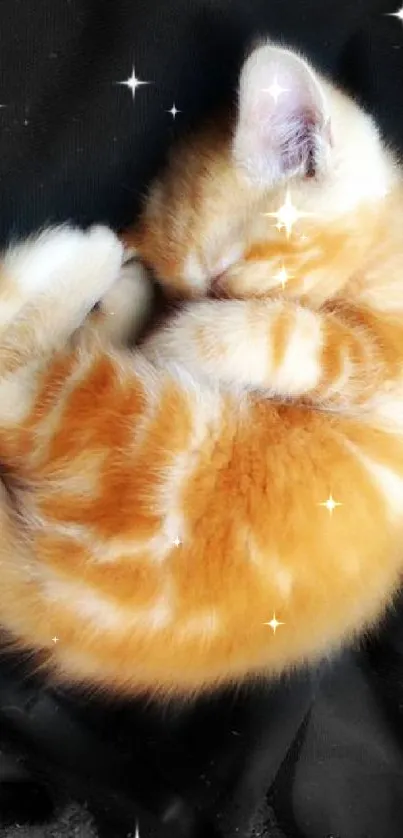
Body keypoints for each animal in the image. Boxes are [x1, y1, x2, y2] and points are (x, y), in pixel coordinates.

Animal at [0, 42, 403, 704]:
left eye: (220, 283)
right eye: (188, 291)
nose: (177, 309)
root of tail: (47, 597)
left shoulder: (386, 368)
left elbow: (311, 337)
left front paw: (184, 338)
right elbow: (315, 335)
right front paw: (170, 330)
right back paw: (92, 259)